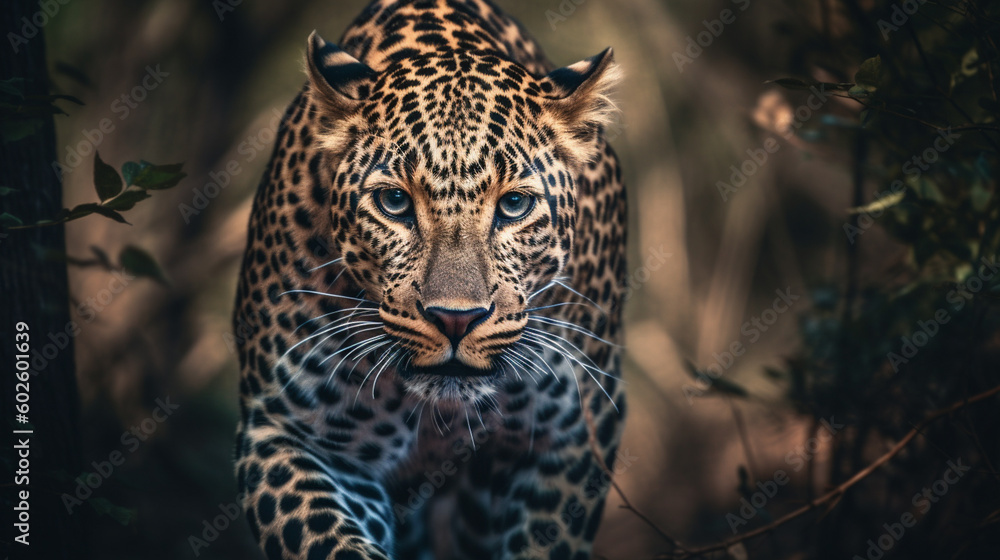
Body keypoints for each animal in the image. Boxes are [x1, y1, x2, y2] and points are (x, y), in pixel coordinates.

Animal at [232, 0, 628, 558]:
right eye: (394, 202)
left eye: (514, 205)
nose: (455, 320)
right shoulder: (291, 433)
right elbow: (328, 539)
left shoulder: (568, 442)